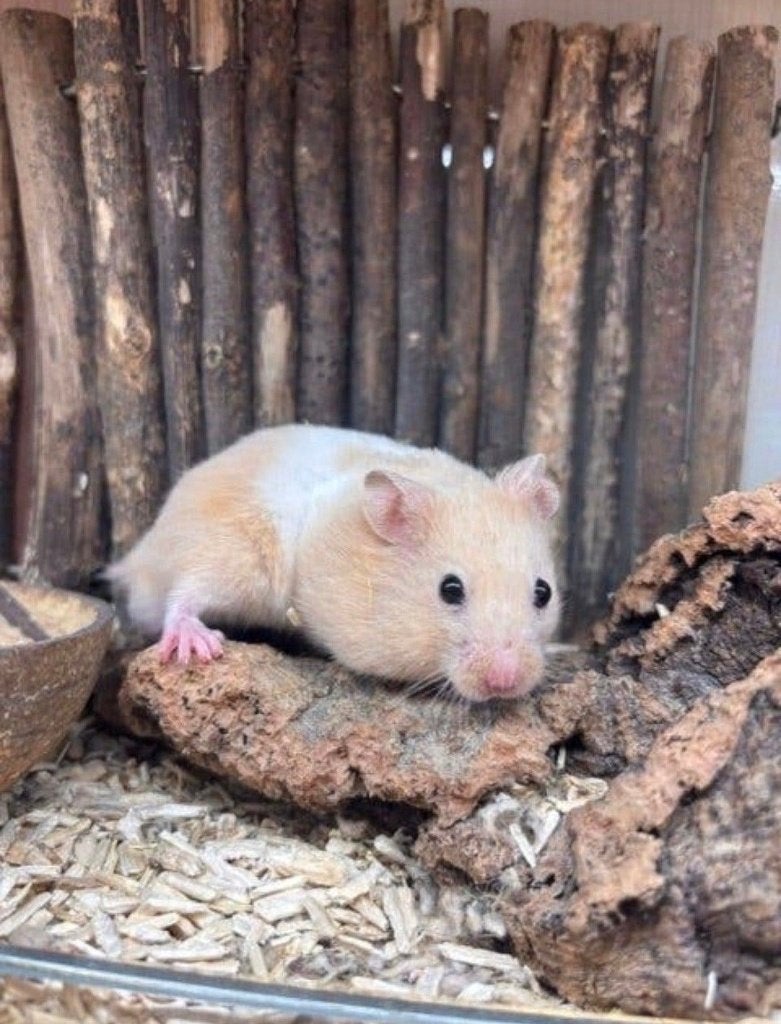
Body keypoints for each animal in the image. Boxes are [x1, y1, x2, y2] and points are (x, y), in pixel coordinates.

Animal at [109, 424, 561, 703]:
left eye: (544, 592)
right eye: (450, 590)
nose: (506, 682)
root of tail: (139, 556)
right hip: (234, 555)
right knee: (183, 597)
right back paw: (196, 645)